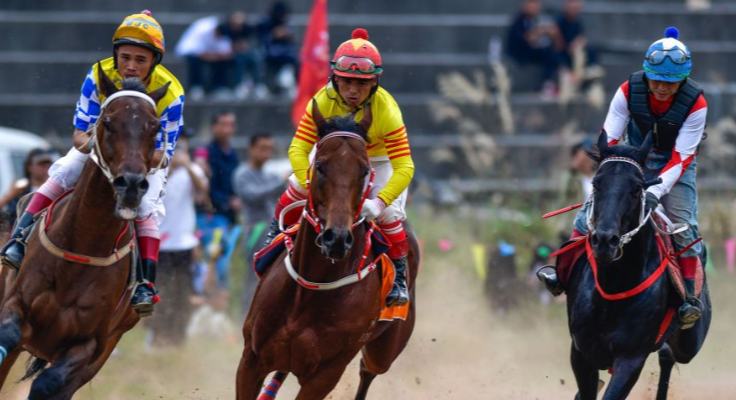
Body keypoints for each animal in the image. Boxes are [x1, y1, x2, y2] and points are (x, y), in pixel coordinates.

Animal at [236, 102, 420, 400]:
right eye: (320, 166)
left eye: (364, 171)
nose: (337, 238)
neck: (310, 290)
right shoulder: (251, 360)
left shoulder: (324, 375)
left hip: (386, 347)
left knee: (368, 371)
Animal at [565, 132, 711, 400]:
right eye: (596, 183)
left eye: (636, 188)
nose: (605, 240)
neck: (614, 284)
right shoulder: (581, 350)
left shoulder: (631, 357)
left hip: (690, 339)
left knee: (669, 354)